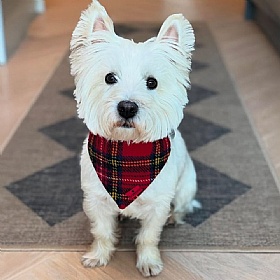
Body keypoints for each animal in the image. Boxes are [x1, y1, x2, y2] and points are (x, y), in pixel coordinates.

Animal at [70, 0, 199, 276]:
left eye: (152, 82)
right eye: (109, 77)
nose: (127, 107)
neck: (127, 154)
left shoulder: (157, 205)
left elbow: (148, 236)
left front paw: (149, 262)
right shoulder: (95, 200)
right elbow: (102, 232)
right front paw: (98, 256)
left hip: (186, 187)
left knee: (182, 205)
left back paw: (175, 217)